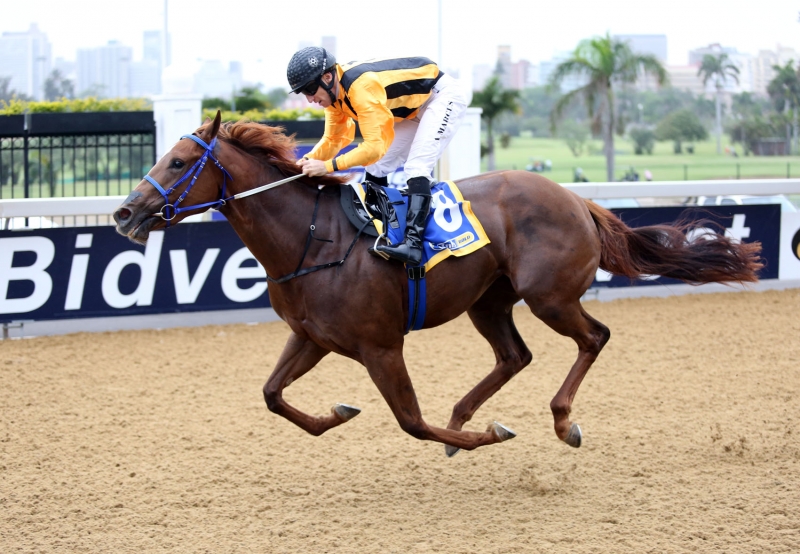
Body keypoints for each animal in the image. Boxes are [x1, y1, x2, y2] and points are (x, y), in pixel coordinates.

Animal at [112, 111, 764, 452]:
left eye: (177, 162)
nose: (123, 212)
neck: (313, 239)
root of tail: (577, 198)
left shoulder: (380, 346)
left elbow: (410, 422)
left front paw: (491, 434)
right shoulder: (313, 337)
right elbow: (272, 395)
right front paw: (338, 414)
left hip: (549, 296)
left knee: (593, 337)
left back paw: (558, 419)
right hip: (490, 301)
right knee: (515, 355)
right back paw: (464, 417)